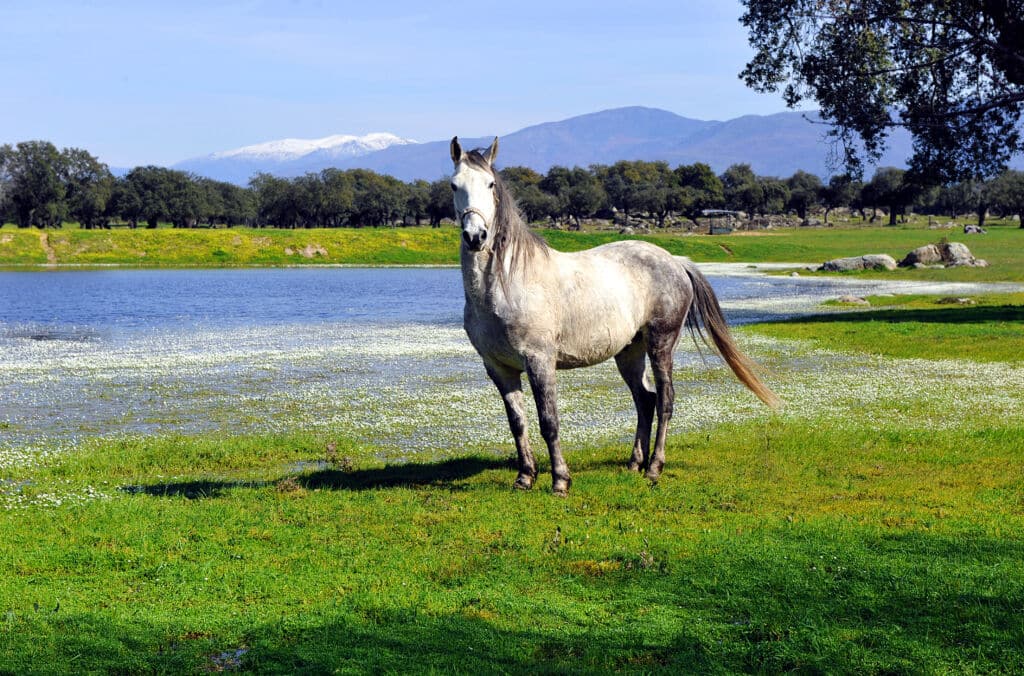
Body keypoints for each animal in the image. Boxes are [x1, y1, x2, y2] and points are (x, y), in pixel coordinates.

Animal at [450, 136, 779, 495]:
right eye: (454, 185)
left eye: (490, 184)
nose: (476, 236)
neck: (505, 285)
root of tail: (676, 261)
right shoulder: (499, 368)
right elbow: (517, 422)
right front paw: (525, 477)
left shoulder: (539, 361)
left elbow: (549, 422)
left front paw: (560, 481)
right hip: (629, 352)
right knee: (645, 400)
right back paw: (635, 463)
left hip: (661, 345)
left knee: (665, 400)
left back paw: (654, 469)